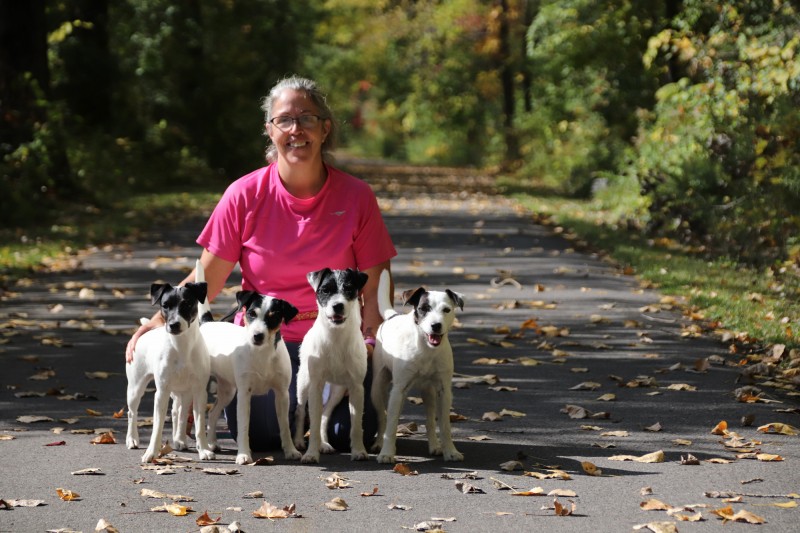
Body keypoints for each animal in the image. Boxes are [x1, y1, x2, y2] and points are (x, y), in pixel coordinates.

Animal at [294, 266, 368, 462]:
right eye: (325, 290)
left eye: (349, 289)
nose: (338, 306)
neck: (336, 337)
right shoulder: (315, 386)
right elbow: (311, 421)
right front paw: (311, 454)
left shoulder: (356, 388)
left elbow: (356, 424)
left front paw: (359, 451)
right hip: (303, 384)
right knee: (301, 411)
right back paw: (299, 441)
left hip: (338, 390)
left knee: (325, 414)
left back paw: (324, 444)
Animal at [372, 270, 466, 462]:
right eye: (424, 308)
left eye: (446, 310)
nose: (435, 325)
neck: (426, 348)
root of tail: (392, 316)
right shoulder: (398, 390)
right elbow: (391, 425)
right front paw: (387, 453)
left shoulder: (444, 391)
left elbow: (444, 425)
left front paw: (450, 451)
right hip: (378, 389)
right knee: (383, 418)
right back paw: (379, 444)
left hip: (428, 392)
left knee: (429, 420)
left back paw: (435, 446)